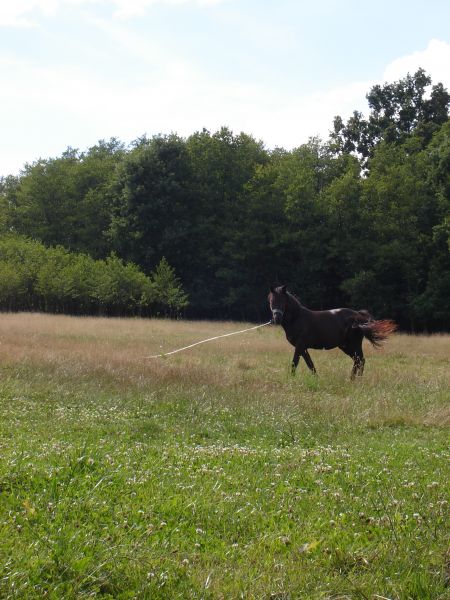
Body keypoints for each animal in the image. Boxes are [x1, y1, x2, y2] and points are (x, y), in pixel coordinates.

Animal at [268, 286, 398, 380]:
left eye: (283, 301)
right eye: (271, 301)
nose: (277, 318)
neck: (297, 318)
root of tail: (358, 316)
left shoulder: (300, 346)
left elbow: (295, 362)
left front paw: (291, 379)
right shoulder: (303, 348)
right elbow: (310, 364)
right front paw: (316, 378)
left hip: (354, 344)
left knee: (360, 360)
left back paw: (357, 379)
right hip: (345, 346)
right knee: (357, 361)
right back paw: (352, 379)